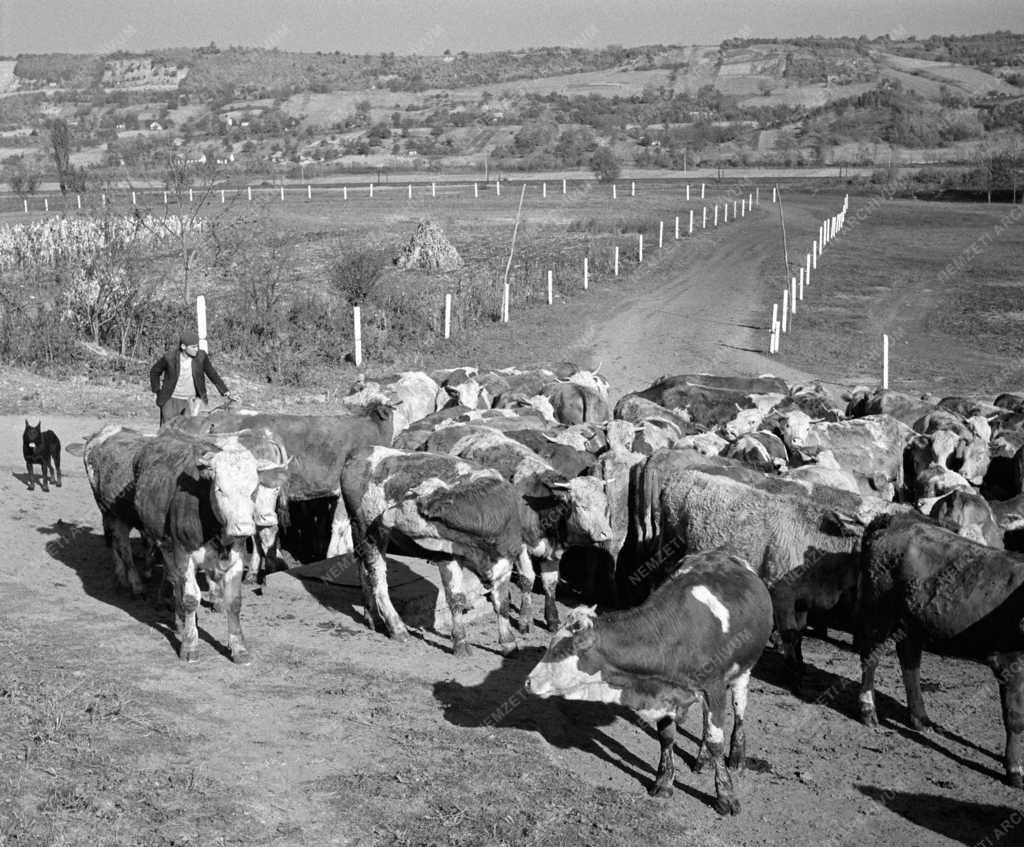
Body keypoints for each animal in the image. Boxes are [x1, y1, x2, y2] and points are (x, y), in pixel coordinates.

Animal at [339, 450, 536, 655]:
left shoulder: (505, 561)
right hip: (369, 532)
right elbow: (456, 598)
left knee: (364, 571)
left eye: (408, 500)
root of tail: (362, 452)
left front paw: (509, 642)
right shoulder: (448, 556)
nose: (384, 514)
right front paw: (461, 643)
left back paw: (371, 617)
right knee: (378, 579)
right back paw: (397, 627)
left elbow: (503, 601)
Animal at [528, 548, 770, 815]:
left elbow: (716, 741)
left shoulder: (713, 689)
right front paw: (664, 782)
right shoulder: (662, 691)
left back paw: (737, 756)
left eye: (563, 650)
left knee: (739, 710)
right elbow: (667, 737)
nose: (529, 681)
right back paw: (702, 758)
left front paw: (725, 796)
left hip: (744, 671)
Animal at [856, 514, 1024, 790]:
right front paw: (1015, 770)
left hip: (912, 621)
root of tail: (895, 519)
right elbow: (1015, 717)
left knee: (909, 660)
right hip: (878, 612)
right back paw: (868, 712)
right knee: (871, 658)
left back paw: (920, 719)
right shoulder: (1009, 661)